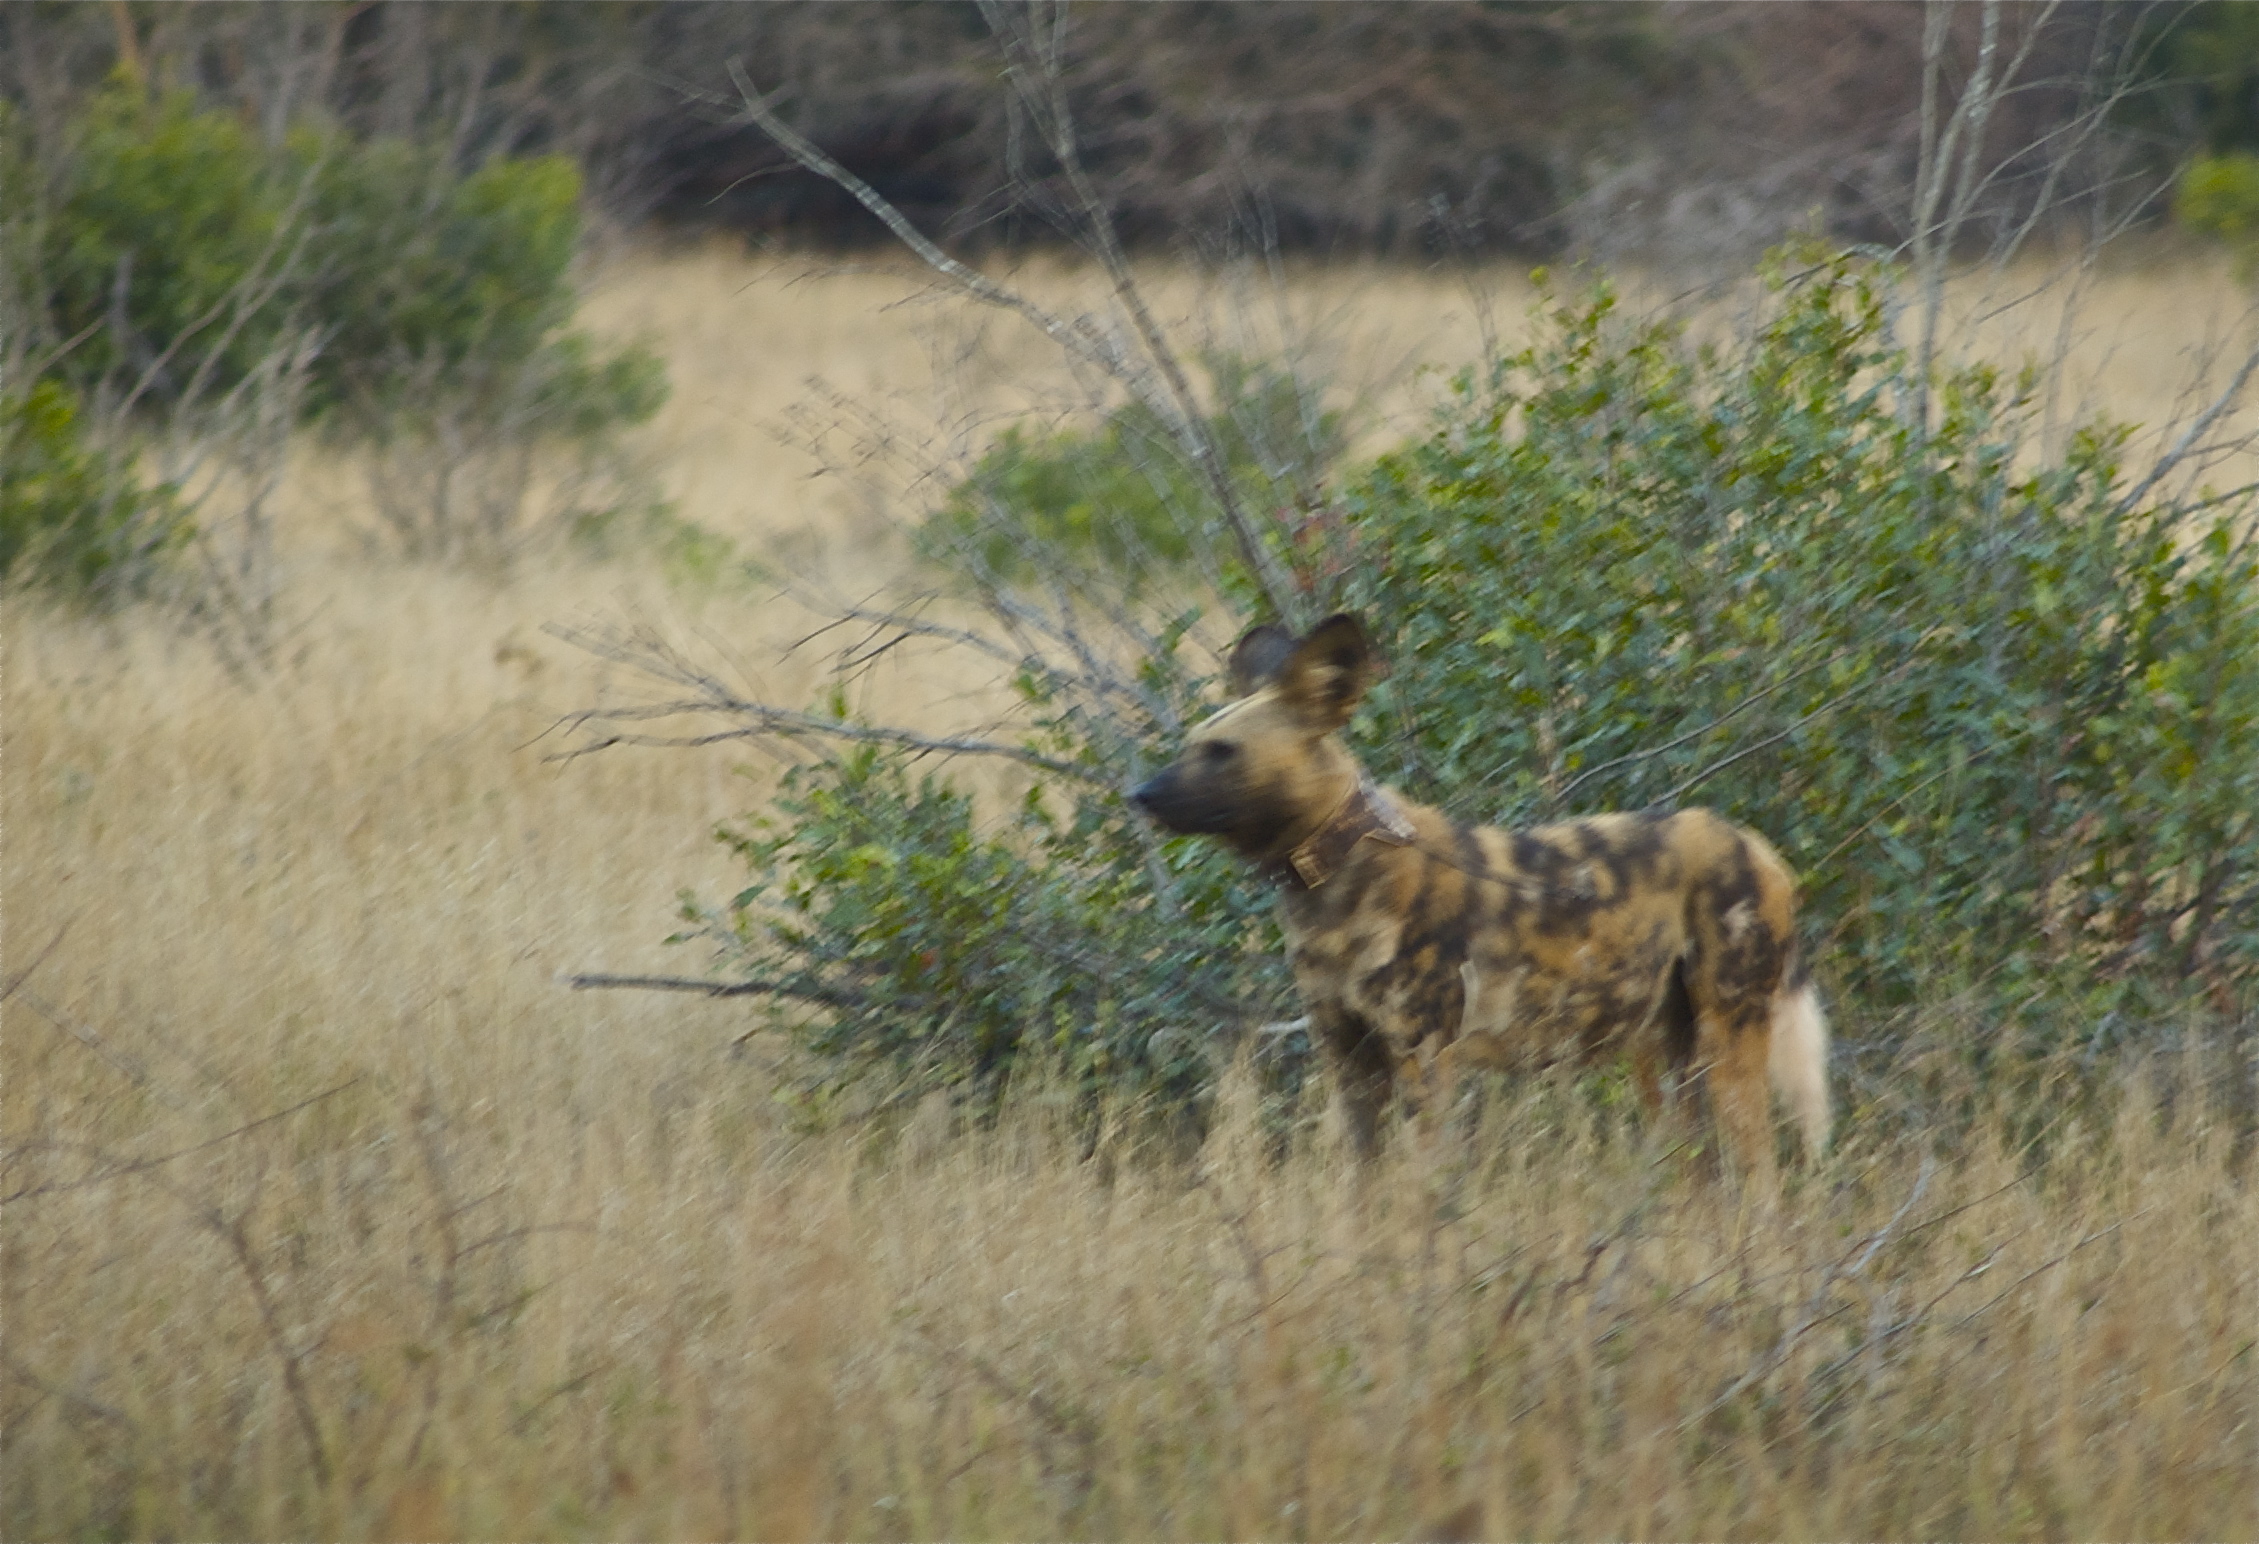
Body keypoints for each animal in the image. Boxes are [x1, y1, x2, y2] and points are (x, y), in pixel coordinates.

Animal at [1129, 614, 1834, 1184]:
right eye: (1189, 746)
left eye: (1223, 752)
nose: (1139, 795)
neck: (1334, 880)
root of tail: (1752, 843)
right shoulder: (1351, 1066)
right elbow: (1363, 1198)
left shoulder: (1423, 1061)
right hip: (1663, 1057)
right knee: (1703, 1179)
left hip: (1728, 1042)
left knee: (1760, 1179)